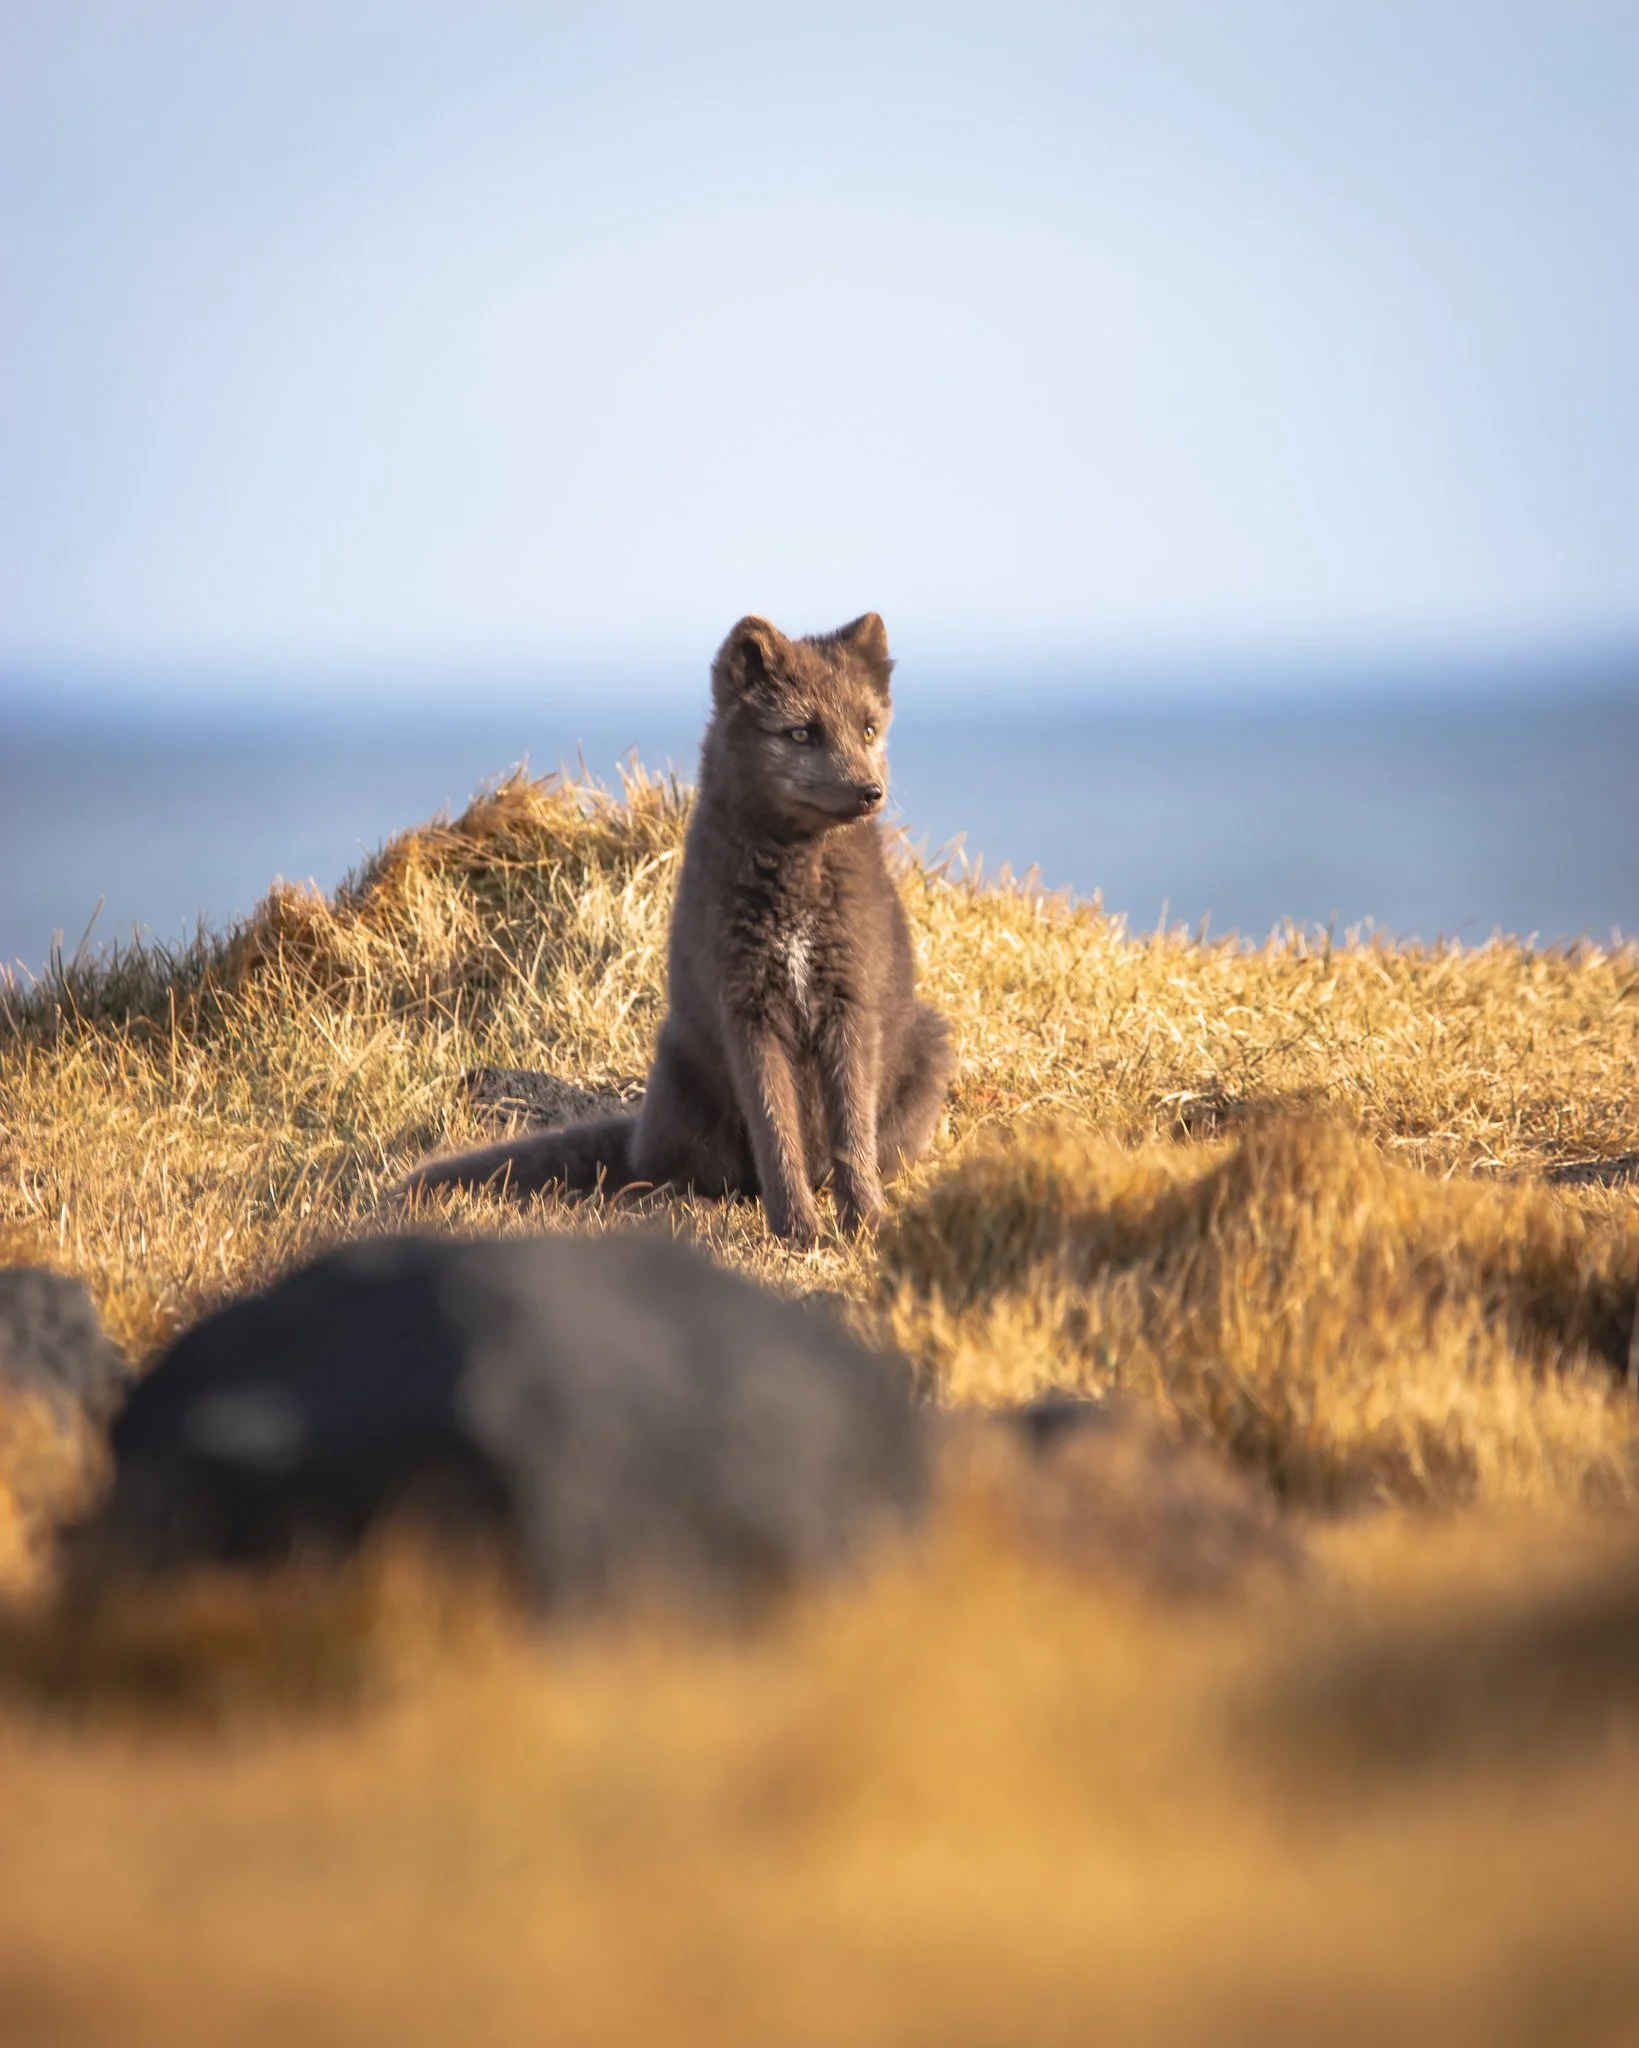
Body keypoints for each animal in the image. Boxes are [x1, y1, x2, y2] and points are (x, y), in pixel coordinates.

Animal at [405, 611, 954, 1244]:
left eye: (868, 729)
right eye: (801, 734)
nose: (870, 793)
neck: (797, 883)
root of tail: (638, 1138)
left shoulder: (850, 1002)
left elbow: (851, 1133)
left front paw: (863, 1223)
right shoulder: (746, 1010)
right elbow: (775, 1131)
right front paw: (798, 1231)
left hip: (930, 1042)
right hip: (679, 1075)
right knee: (691, 1176)